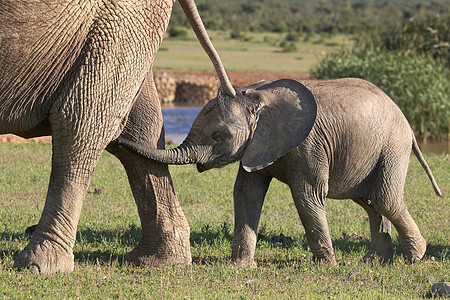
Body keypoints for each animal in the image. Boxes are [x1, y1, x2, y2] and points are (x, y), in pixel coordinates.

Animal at [117, 78, 442, 264]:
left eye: (218, 136)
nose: (118, 137)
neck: (258, 97)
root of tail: (406, 120)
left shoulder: (309, 144)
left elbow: (307, 196)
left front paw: (327, 266)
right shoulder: (257, 142)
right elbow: (246, 192)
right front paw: (240, 265)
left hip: (392, 146)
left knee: (385, 198)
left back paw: (413, 257)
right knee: (370, 201)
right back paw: (374, 261)